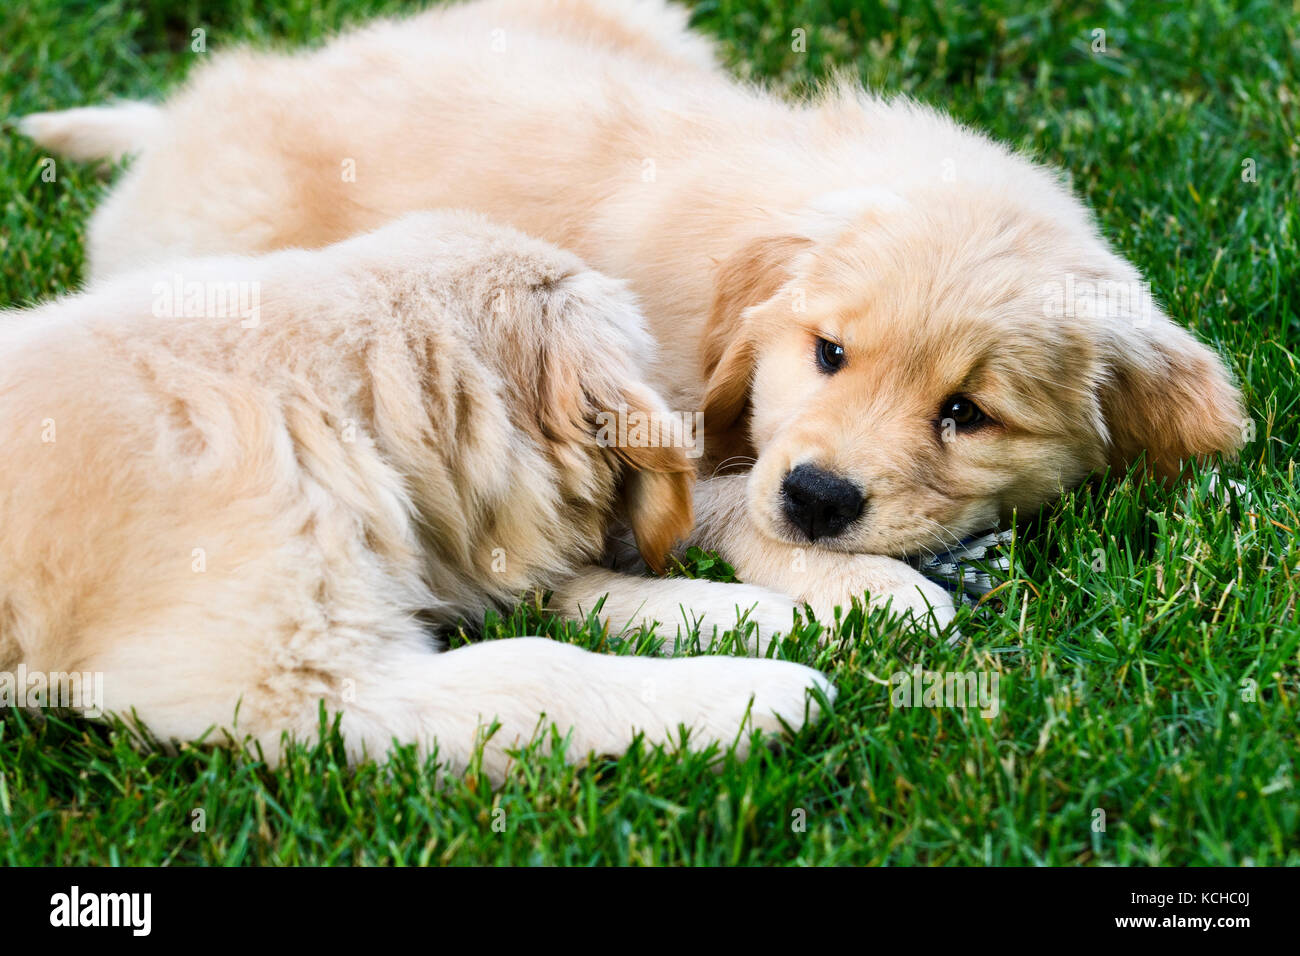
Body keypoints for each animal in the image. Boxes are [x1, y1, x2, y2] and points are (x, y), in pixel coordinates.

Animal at [0, 213, 832, 780]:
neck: (328, 398)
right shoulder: (285, 683)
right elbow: (535, 666)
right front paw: (751, 693)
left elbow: (572, 592)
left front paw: (743, 613)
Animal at [17, 0, 1237, 629]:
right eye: (829, 352)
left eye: (967, 413)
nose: (821, 498)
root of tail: (195, 111)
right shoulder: (645, 441)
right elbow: (737, 507)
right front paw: (879, 586)